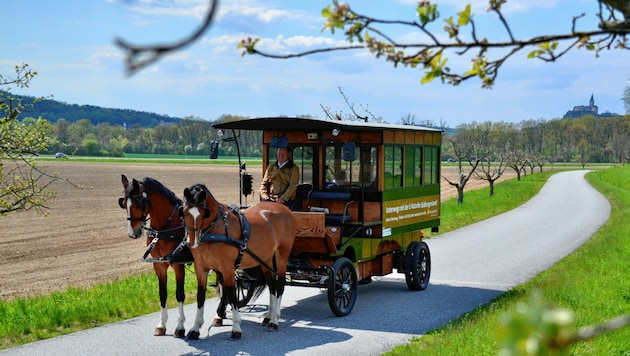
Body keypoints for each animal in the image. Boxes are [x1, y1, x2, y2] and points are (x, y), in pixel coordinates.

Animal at [118, 177, 193, 338]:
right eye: (124, 203)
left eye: (138, 203)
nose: (132, 234)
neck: (164, 229)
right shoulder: (159, 265)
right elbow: (162, 294)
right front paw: (161, 325)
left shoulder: (178, 265)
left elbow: (179, 294)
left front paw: (180, 326)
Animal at [181, 184, 298, 340]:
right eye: (184, 212)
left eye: (204, 213)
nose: (191, 242)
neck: (214, 229)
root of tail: (286, 210)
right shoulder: (201, 268)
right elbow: (201, 296)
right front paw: (195, 329)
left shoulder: (227, 268)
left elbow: (231, 295)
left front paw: (236, 328)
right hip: (266, 259)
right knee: (272, 285)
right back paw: (268, 317)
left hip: (282, 255)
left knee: (279, 285)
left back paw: (274, 321)